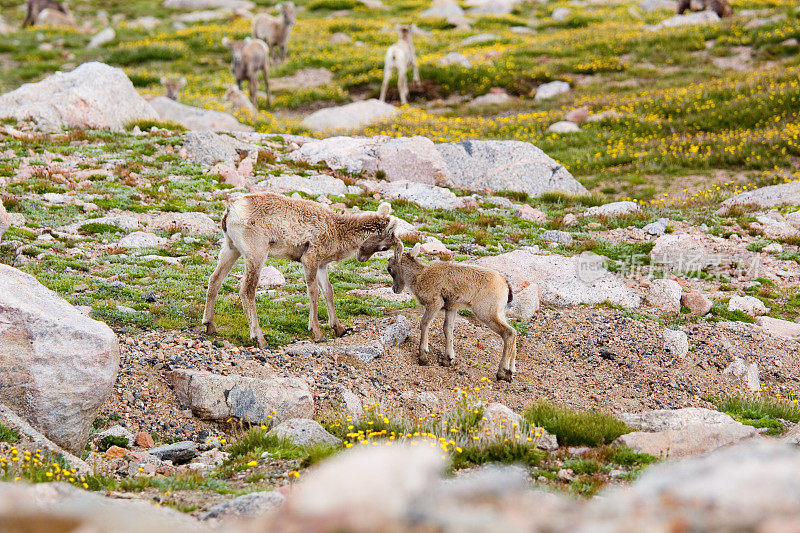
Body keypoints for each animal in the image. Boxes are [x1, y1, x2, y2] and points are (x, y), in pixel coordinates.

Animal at [203, 193, 404, 348]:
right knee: (246, 291)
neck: (338, 232)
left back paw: (209, 325)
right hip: (256, 255)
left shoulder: (322, 265)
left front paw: (339, 328)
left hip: (231, 248)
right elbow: (313, 292)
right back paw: (260, 339)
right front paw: (317, 332)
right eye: (385, 247)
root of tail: (230, 210)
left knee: (214, 280)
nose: (361, 258)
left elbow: (329, 292)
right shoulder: (310, 259)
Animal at [388, 241, 520, 382]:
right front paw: (448, 359)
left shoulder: (435, 304)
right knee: (514, 333)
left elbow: (424, 323)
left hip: (486, 313)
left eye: (389, 269)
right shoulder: (451, 308)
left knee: (509, 333)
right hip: (499, 313)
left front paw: (423, 357)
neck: (419, 277)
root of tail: (505, 284)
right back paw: (510, 372)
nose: (395, 289)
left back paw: (501, 372)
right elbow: (448, 329)